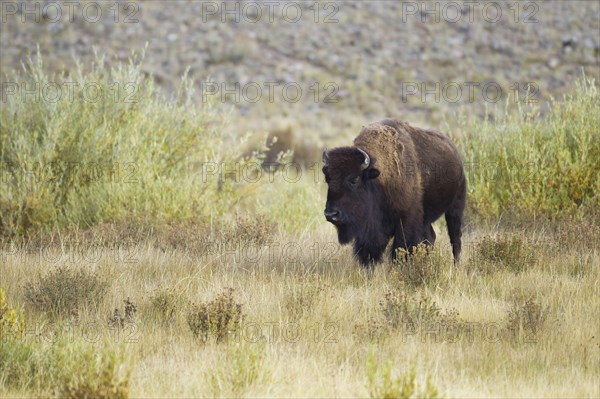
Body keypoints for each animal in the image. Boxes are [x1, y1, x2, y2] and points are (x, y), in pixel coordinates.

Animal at [322, 119, 466, 268]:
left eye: (354, 179)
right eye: (327, 179)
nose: (331, 214)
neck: (378, 178)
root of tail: (455, 152)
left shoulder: (406, 220)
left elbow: (399, 250)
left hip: (455, 208)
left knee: (455, 239)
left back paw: (456, 265)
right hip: (427, 219)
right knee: (431, 237)